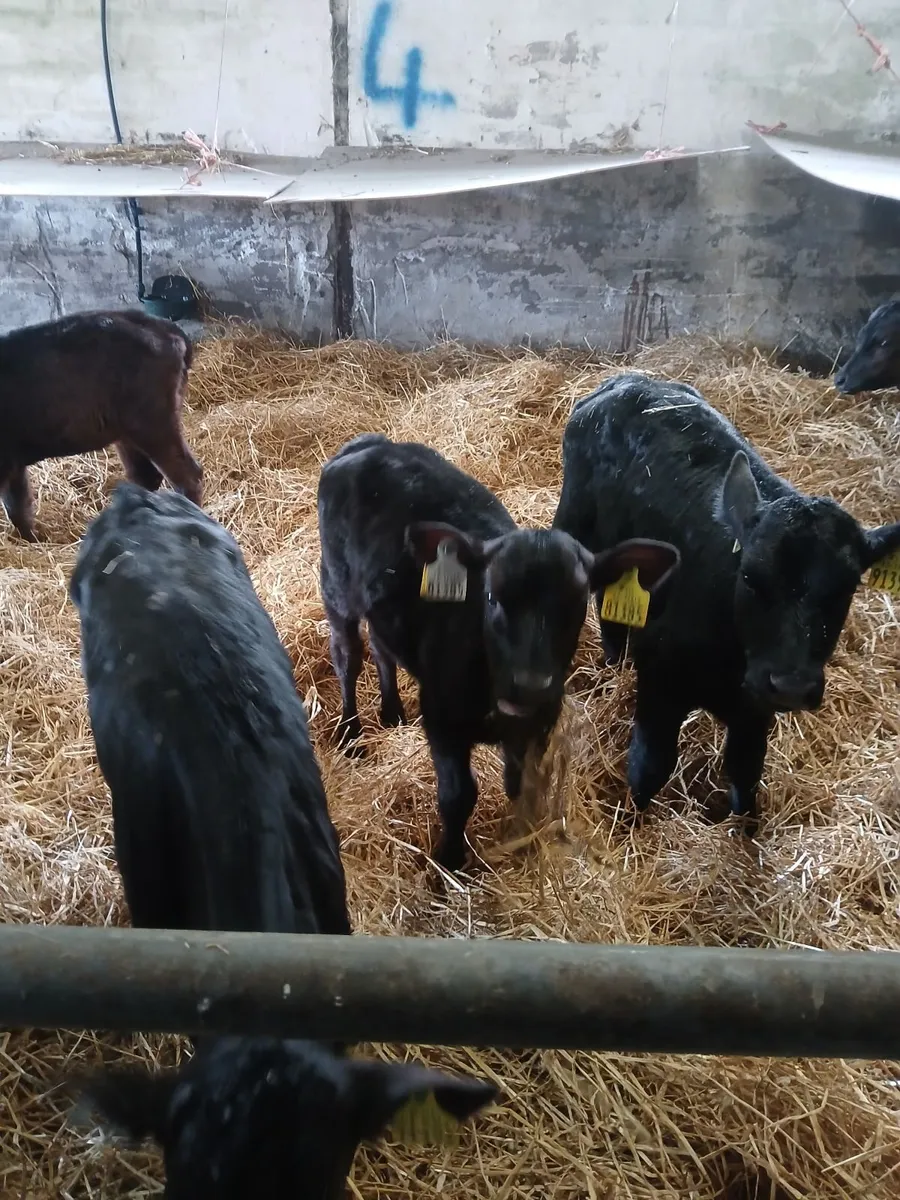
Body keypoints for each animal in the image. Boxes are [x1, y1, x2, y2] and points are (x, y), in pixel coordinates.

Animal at [0, 309, 202, 541]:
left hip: (154, 425)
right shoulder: (14, 461)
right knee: (145, 476)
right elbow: (17, 506)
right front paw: (33, 541)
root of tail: (161, 326)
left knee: (186, 476)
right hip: (128, 433)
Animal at [318, 433, 679, 870]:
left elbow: (521, 787)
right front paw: (450, 861)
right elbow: (457, 796)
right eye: (491, 597)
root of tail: (371, 444)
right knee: (347, 656)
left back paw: (391, 713)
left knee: (382, 647)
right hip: (335, 588)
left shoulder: (538, 723)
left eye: (578, 606)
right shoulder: (442, 719)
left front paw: (516, 843)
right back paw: (352, 734)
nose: (530, 685)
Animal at [553, 372, 900, 828]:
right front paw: (632, 823)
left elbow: (745, 771)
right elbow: (651, 765)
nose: (791, 685)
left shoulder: (755, 708)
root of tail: (628, 380)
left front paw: (744, 831)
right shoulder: (661, 681)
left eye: (848, 588)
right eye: (750, 577)